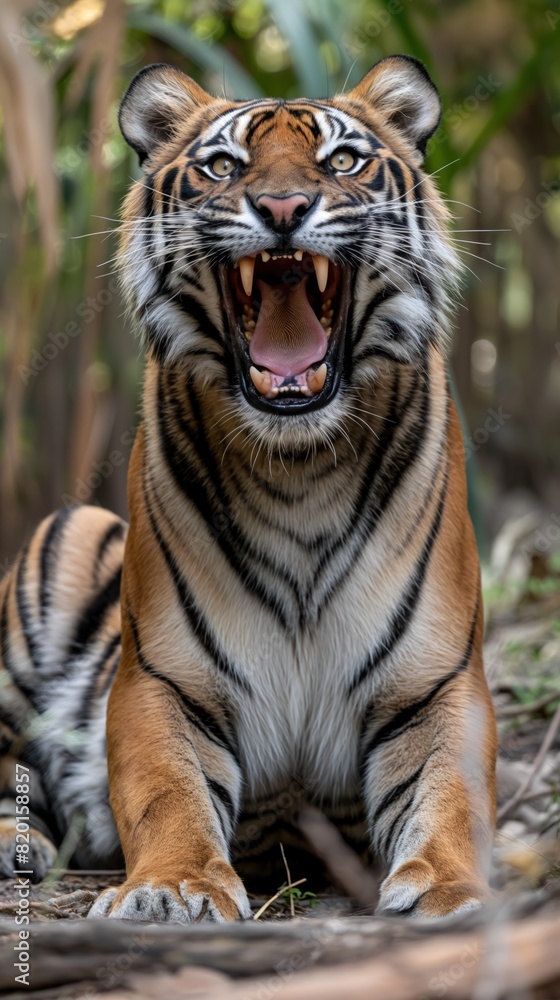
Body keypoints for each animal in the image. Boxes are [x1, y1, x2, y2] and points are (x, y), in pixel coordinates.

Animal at [0, 55, 497, 922]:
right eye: (224, 166)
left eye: (343, 160)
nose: (283, 208)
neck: (301, 466)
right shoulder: (162, 678)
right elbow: (167, 789)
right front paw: (170, 888)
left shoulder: (436, 681)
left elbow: (454, 797)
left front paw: (452, 893)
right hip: (58, 543)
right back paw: (13, 838)